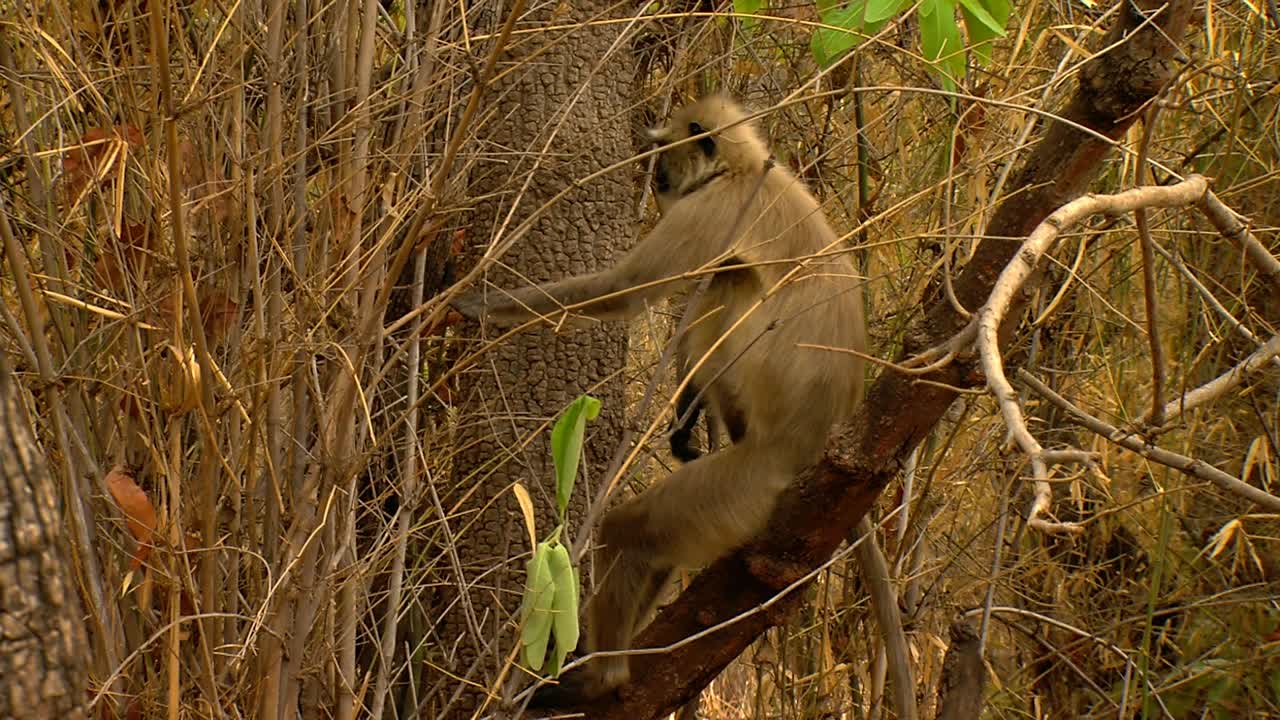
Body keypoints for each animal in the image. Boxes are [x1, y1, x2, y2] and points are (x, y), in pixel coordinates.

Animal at [453, 95, 870, 702]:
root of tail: (816, 441)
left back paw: (601, 678)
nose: (658, 177)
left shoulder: (713, 208)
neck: (744, 169)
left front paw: (476, 304)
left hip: (745, 489)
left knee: (633, 528)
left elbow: (625, 289)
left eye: (666, 149)